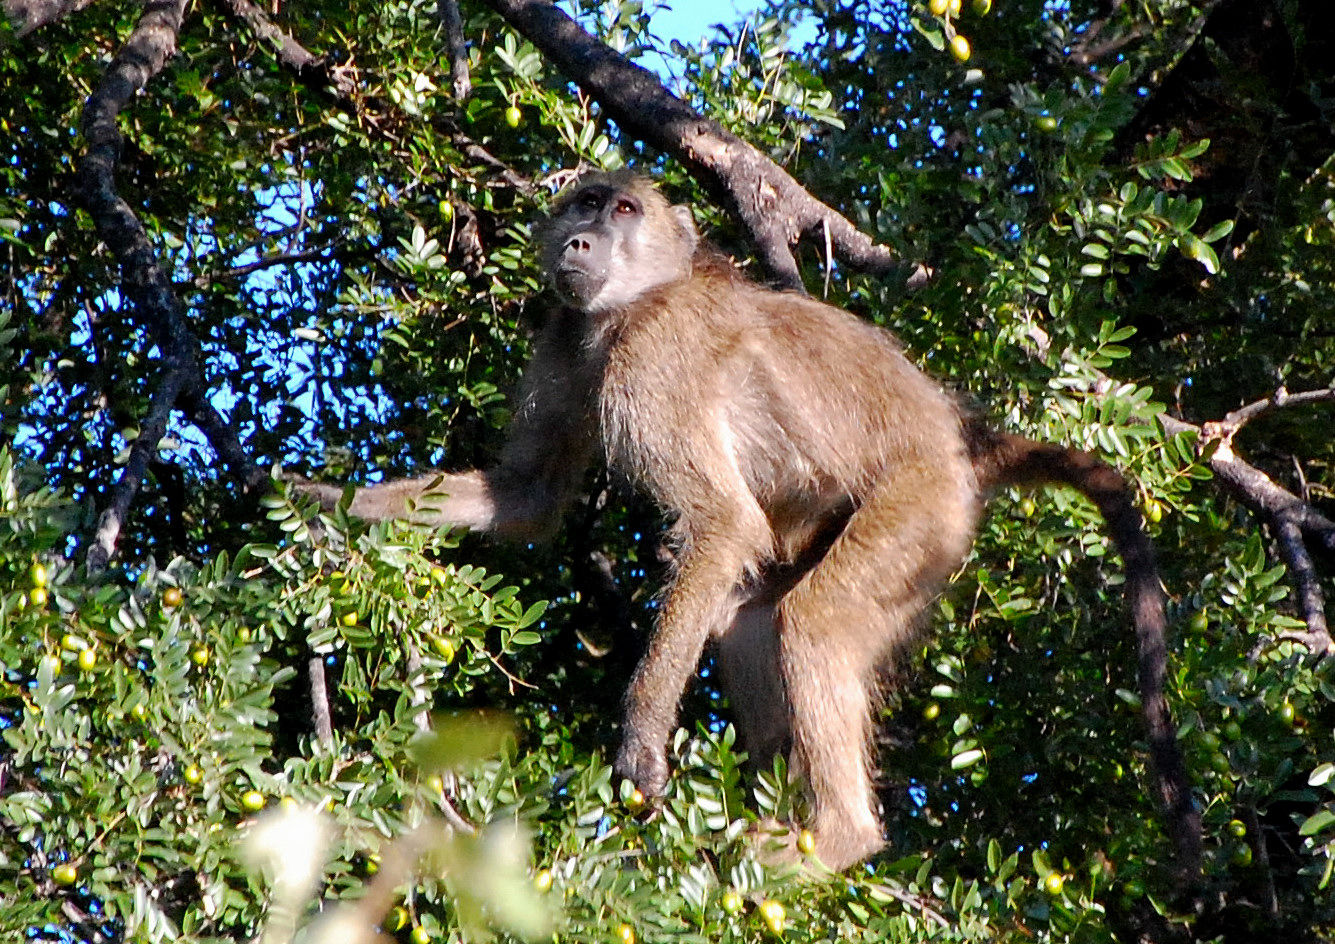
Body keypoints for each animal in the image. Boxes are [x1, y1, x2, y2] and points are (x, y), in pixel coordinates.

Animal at [293, 170, 1199, 877]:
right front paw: (318, 501)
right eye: (583, 203)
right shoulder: (564, 339)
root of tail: (960, 441)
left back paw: (836, 839)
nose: (579, 243)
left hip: (920, 512)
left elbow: (721, 523)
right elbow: (529, 496)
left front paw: (640, 742)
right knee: (750, 621)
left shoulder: (651, 360)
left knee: (813, 621)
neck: (638, 301)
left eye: (623, 210)